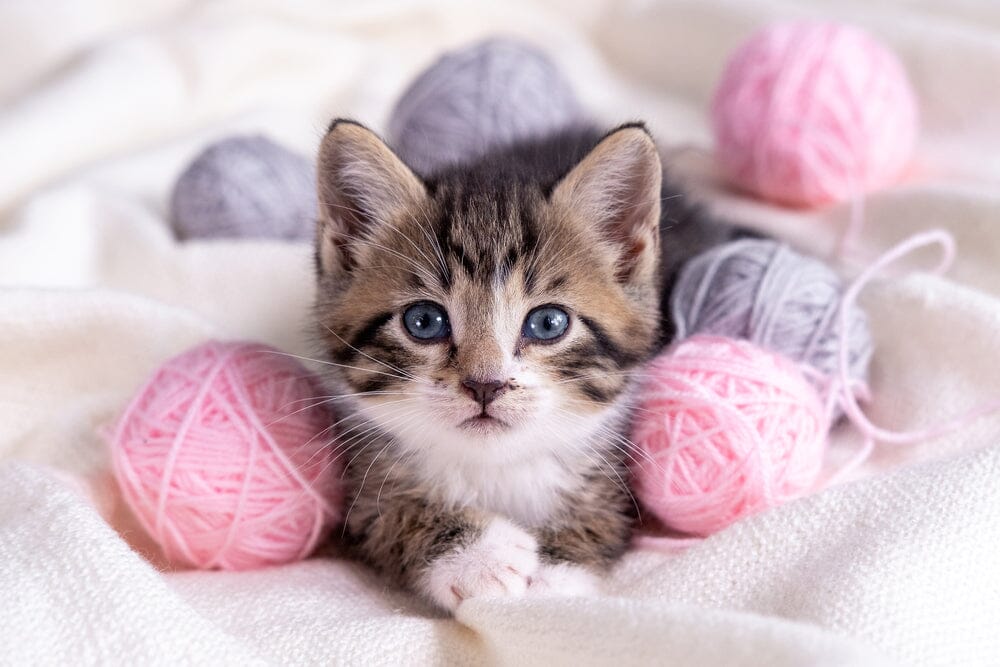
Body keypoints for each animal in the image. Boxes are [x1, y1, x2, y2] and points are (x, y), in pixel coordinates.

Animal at [312, 118, 744, 612]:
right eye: (423, 321)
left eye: (548, 323)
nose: (485, 384)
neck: (497, 465)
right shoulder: (362, 484)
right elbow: (387, 513)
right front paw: (480, 557)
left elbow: (603, 514)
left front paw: (549, 577)